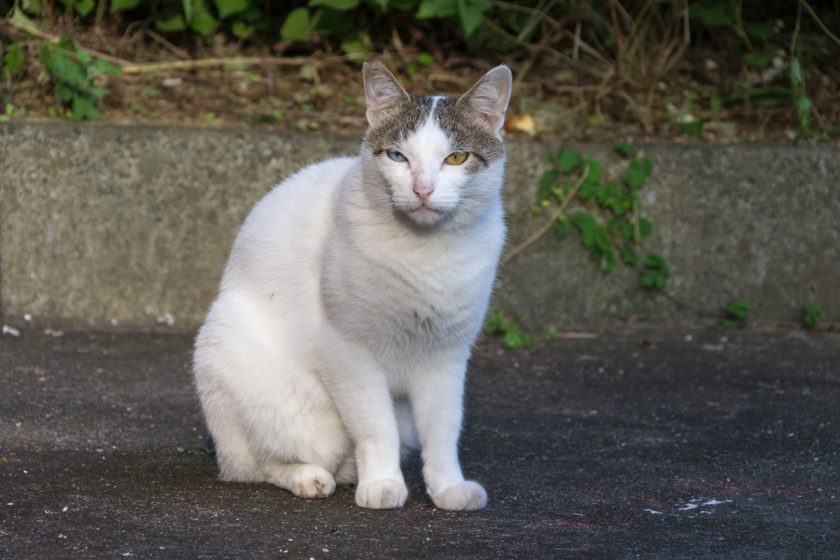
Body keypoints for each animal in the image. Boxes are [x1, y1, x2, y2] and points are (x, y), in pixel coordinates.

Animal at [195, 61, 512, 512]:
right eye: (398, 156)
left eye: (456, 157)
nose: (423, 188)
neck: (426, 254)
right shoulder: (348, 352)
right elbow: (376, 426)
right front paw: (381, 484)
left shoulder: (446, 356)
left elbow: (443, 431)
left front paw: (447, 488)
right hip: (228, 354)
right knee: (257, 465)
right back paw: (310, 477)